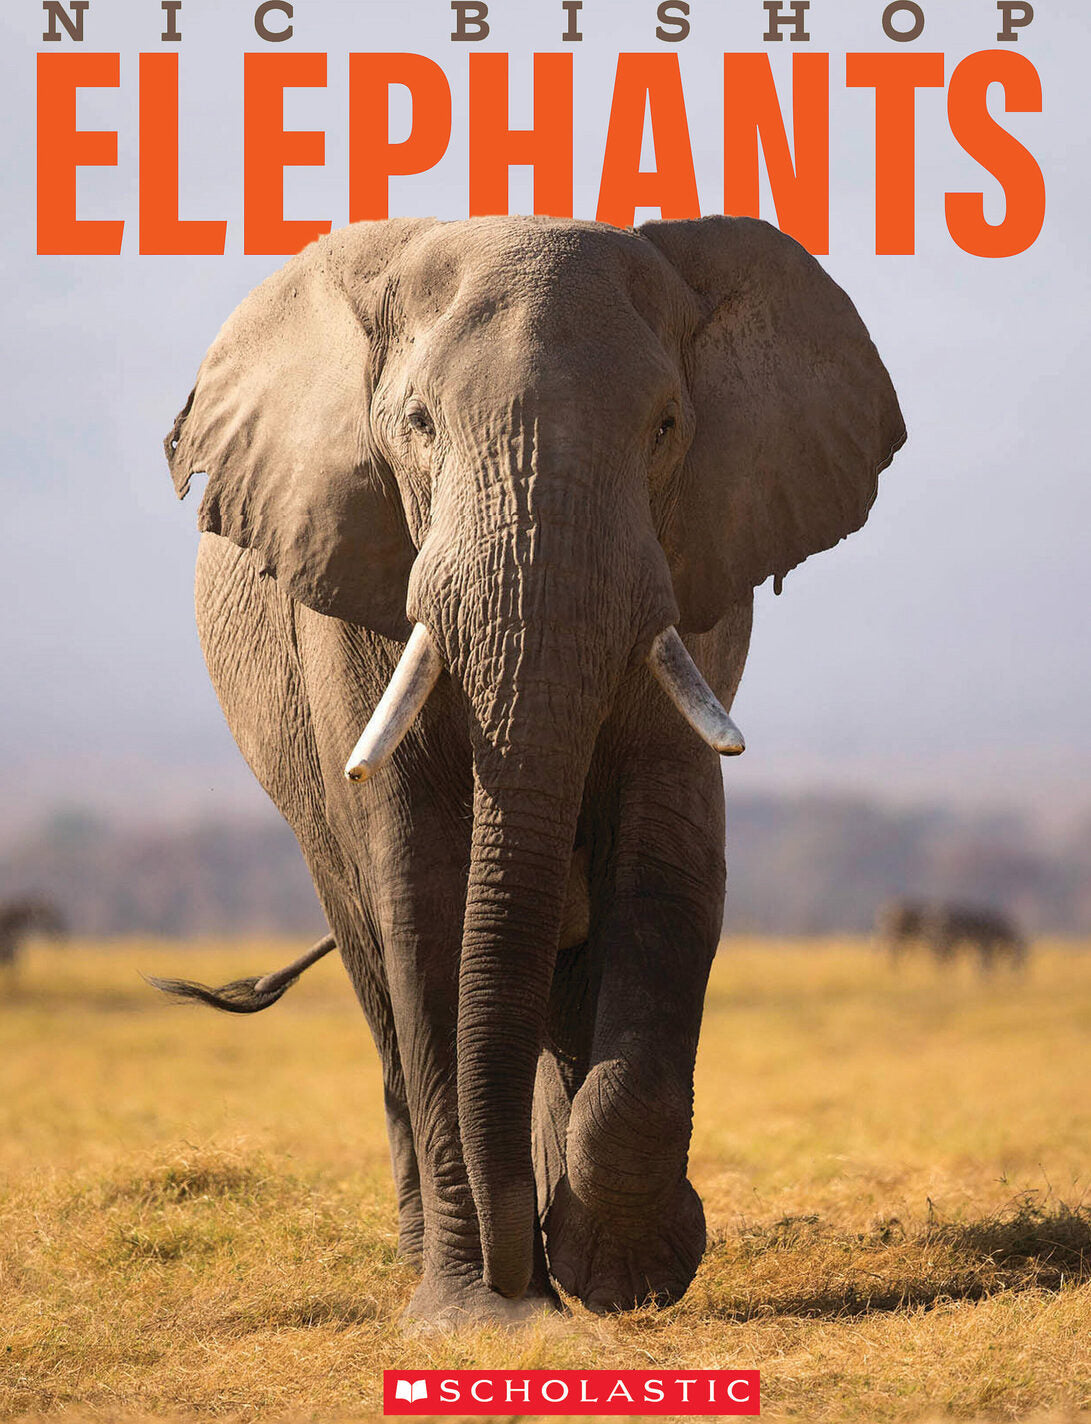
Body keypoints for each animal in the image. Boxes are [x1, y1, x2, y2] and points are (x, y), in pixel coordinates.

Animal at [152, 214, 905, 1328]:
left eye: (666, 427)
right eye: (417, 424)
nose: (516, 1277)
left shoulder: (692, 582)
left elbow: (668, 870)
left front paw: (623, 1279)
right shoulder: (354, 583)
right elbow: (425, 898)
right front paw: (477, 1315)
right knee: (380, 969)